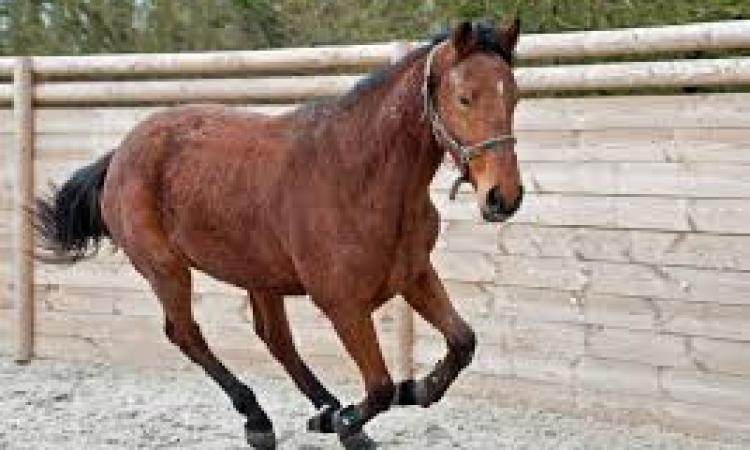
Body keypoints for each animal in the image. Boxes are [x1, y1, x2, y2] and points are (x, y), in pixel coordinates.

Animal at [34, 18, 524, 449]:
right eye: (464, 97)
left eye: (514, 97)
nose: (504, 197)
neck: (360, 177)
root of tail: (120, 154)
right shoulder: (343, 305)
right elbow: (381, 387)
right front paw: (353, 420)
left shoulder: (414, 275)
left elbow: (462, 342)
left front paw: (411, 391)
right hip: (166, 268)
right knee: (186, 334)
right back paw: (262, 420)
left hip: (259, 275)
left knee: (274, 338)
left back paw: (325, 409)